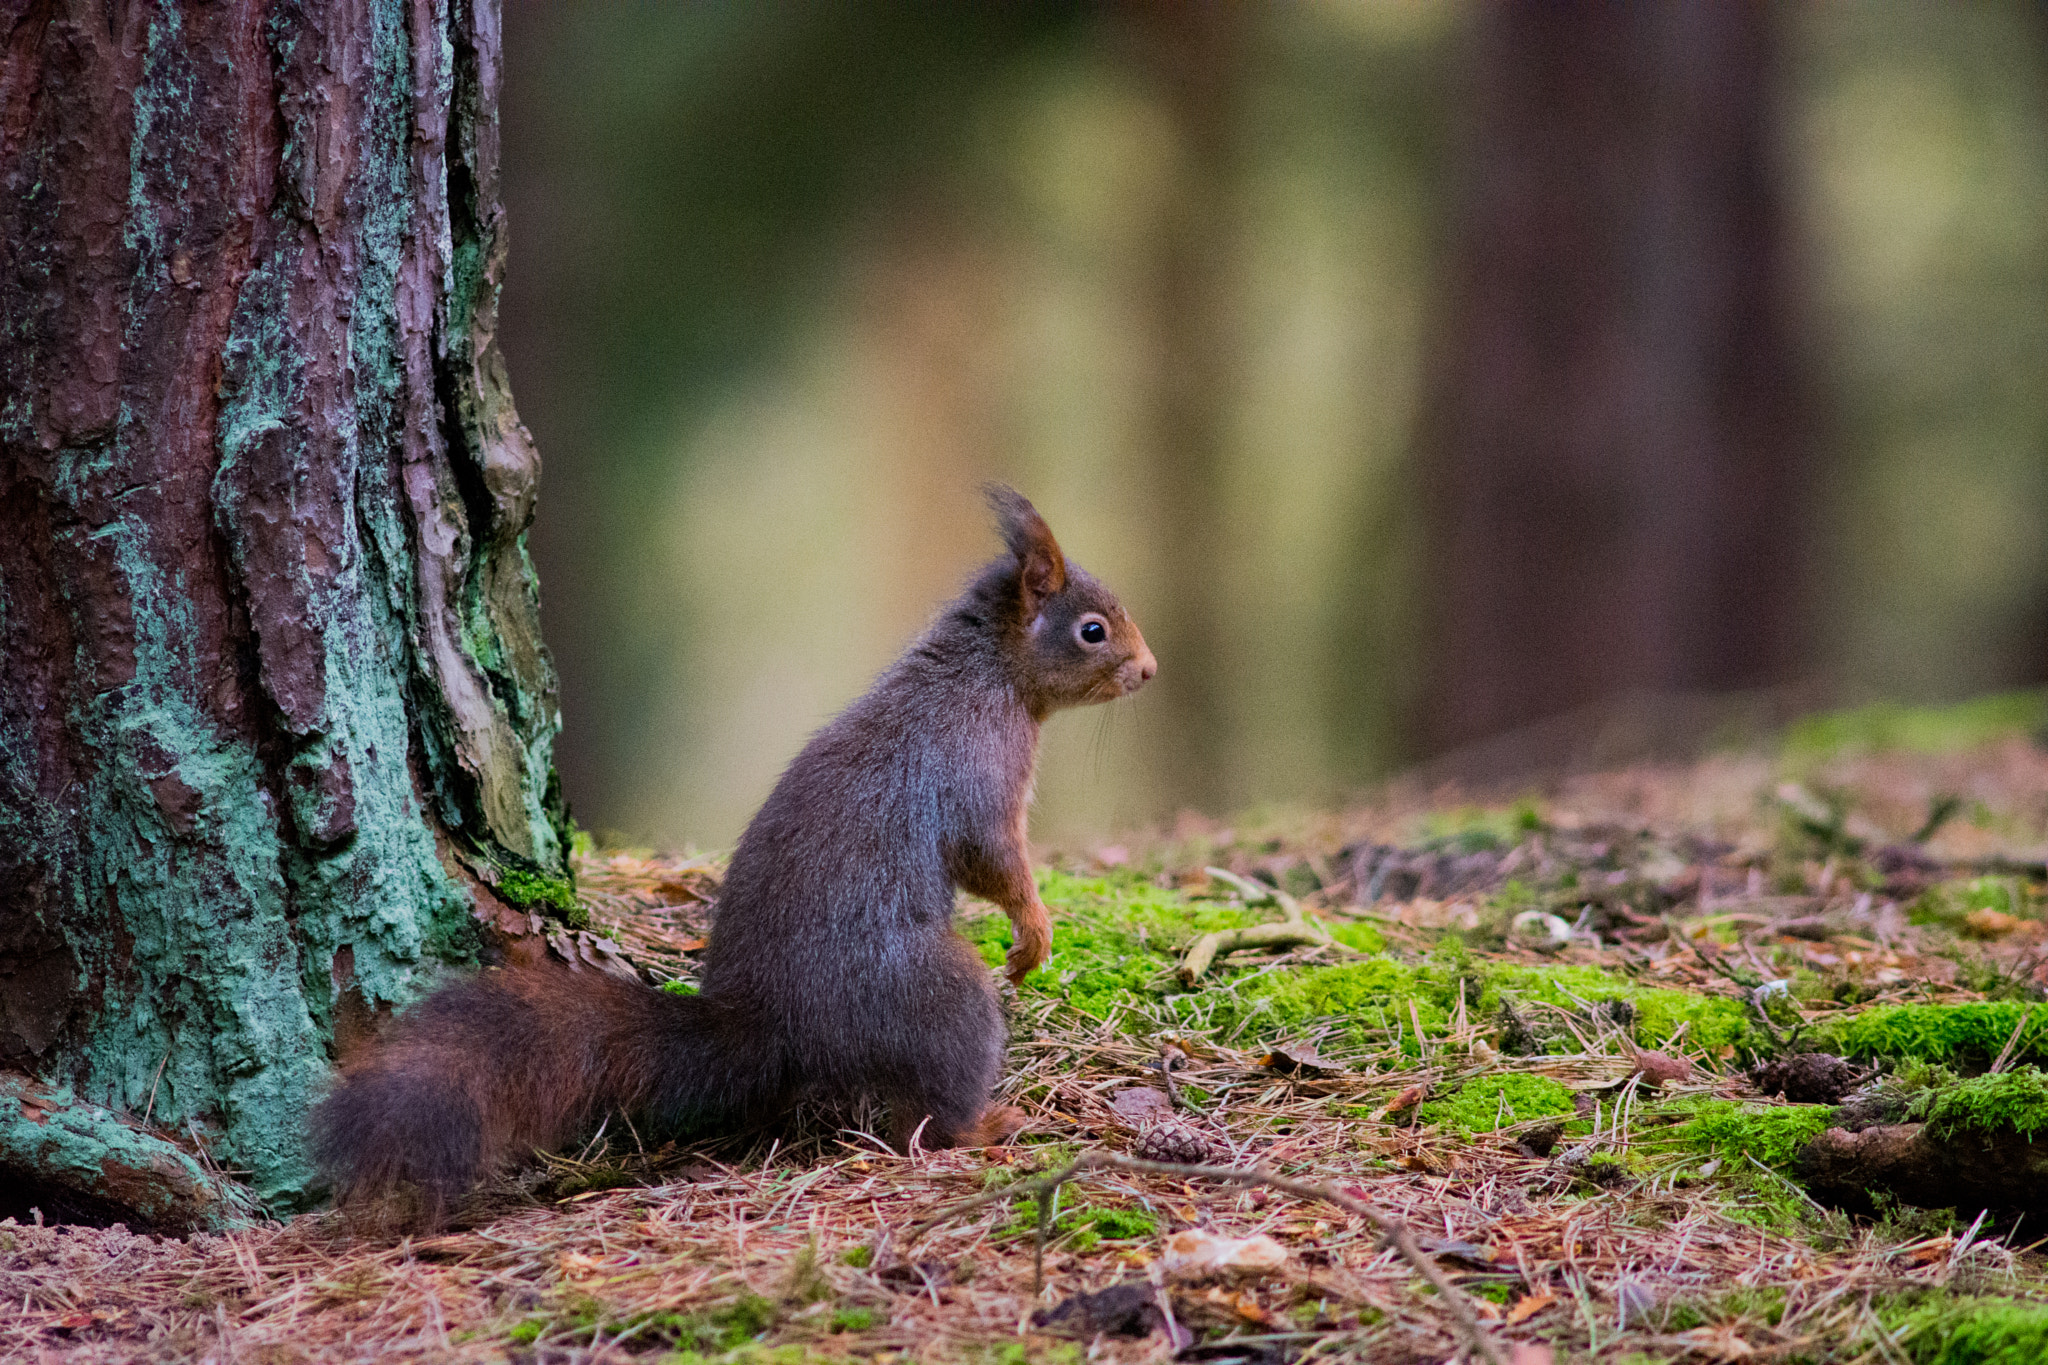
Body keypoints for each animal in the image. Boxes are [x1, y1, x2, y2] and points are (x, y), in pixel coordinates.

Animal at [315, 489, 1155, 1219]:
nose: (1148, 671)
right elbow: (994, 859)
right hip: (940, 995)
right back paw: (989, 1124)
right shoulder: (978, 771)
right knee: (930, 1116)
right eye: (1092, 630)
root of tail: (770, 1030)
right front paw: (1035, 930)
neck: (988, 673)